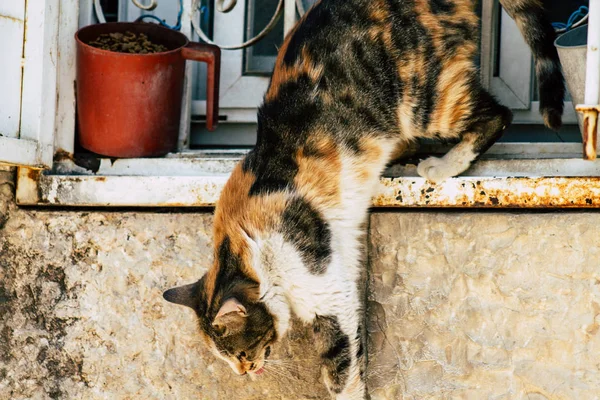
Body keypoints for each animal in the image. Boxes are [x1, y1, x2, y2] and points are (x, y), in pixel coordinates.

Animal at [163, 1, 564, 398]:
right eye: (228, 358)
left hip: (426, 99)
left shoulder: (322, 285)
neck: (246, 245)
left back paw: (441, 164)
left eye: (240, 352)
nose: (244, 372)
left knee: (497, 114)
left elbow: (338, 362)